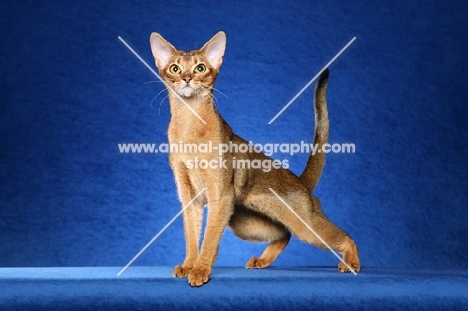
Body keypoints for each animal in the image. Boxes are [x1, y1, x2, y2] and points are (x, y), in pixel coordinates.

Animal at [150, 31, 362, 288]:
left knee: (344, 236)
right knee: (284, 233)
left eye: (200, 68)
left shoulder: (221, 195)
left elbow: (209, 238)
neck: (189, 126)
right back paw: (262, 260)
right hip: (246, 223)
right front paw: (189, 265)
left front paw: (200, 270)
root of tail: (301, 184)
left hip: (305, 224)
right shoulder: (190, 196)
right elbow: (192, 235)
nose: (187, 78)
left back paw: (351, 263)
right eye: (175, 68)